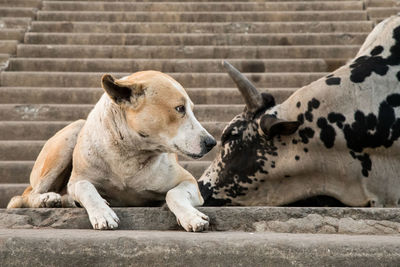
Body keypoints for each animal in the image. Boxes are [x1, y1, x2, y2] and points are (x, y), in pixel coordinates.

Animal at [7, 71, 216, 232]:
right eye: (179, 109)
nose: (211, 142)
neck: (129, 153)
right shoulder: (76, 181)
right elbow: (85, 187)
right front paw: (102, 213)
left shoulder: (189, 182)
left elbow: (173, 194)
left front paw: (191, 217)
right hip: (71, 135)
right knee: (24, 196)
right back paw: (47, 199)